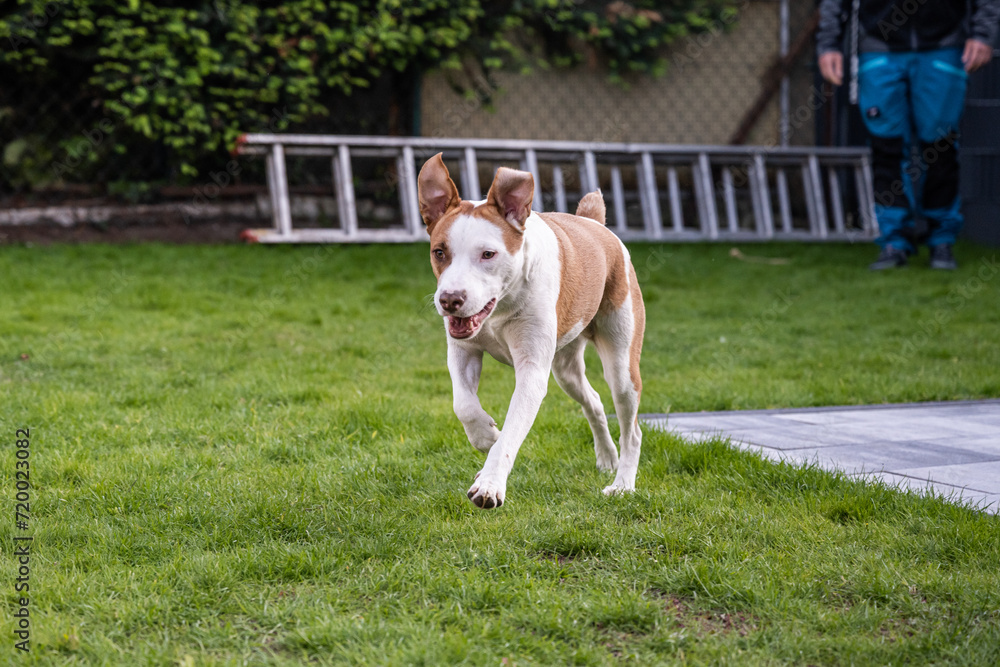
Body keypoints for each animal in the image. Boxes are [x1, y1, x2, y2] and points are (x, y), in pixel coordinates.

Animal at [416, 154, 644, 508]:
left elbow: (512, 431)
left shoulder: (532, 370)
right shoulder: (464, 351)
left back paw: (622, 485)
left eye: (488, 254)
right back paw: (608, 458)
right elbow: (463, 404)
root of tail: (595, 225)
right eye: (439, 252)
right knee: (592, 400)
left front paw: (489, 485)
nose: (450, 300)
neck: (500, 307)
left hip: (621, 366)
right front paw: (486, 436)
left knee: (632, 428)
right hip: (566, 369)